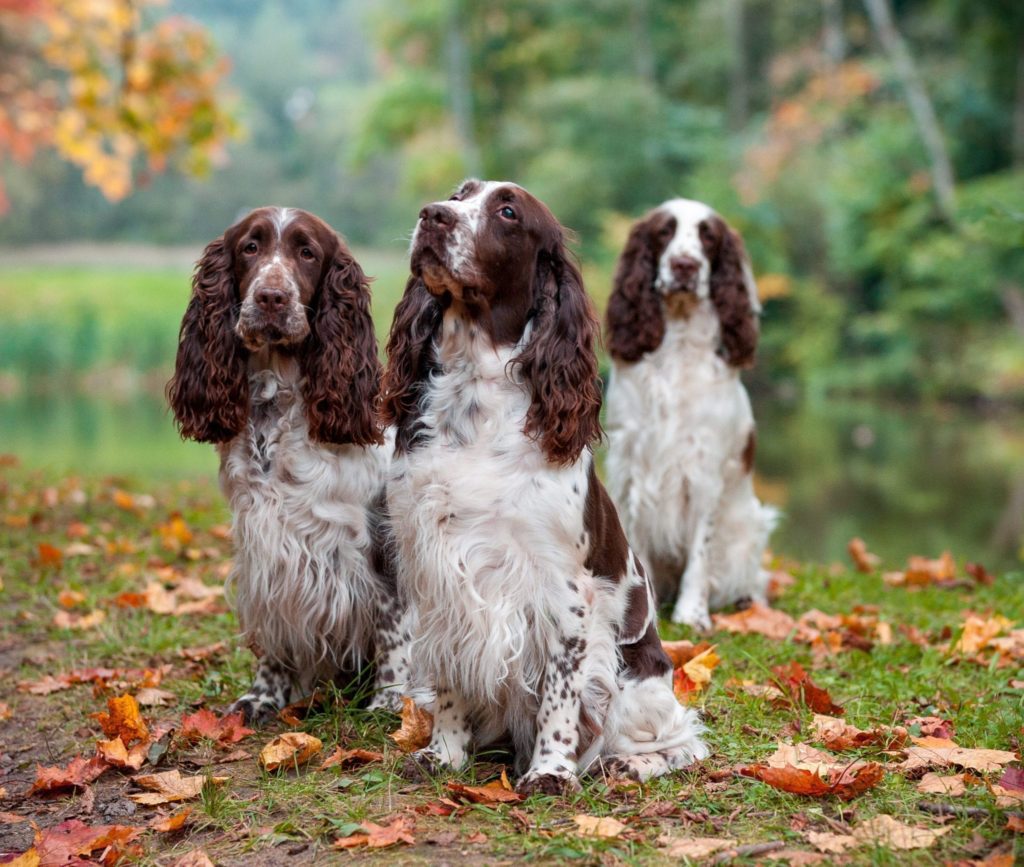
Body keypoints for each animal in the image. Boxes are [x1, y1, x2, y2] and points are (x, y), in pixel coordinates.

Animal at [167, 206, 407, 720]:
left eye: (307, 252)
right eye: (250, 247)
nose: (272, 297)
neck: (275, 404)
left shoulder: (383, 541)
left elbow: (394, 625)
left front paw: (393, 704)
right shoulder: (265, 545)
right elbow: (273, 635)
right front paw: (262, 696)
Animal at [380, 180, 708, 798]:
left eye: (508, 211)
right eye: (458, 194)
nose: (432, 216)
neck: (476, 398)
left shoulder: (564, 589)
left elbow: (561, 690)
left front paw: (551, 772)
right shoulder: (439, 571)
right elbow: (451, 677)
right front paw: (444, 754)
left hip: (638, 684)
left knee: (683, 741)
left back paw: (625, 766)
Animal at [606, 196, 774, 630]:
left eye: (708, 236)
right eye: (664, 231)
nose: (685, 265)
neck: (678, 345)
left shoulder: (704, 466)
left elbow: (701, 549)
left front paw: (692, 613)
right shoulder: (630, 462)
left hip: (751, 526)